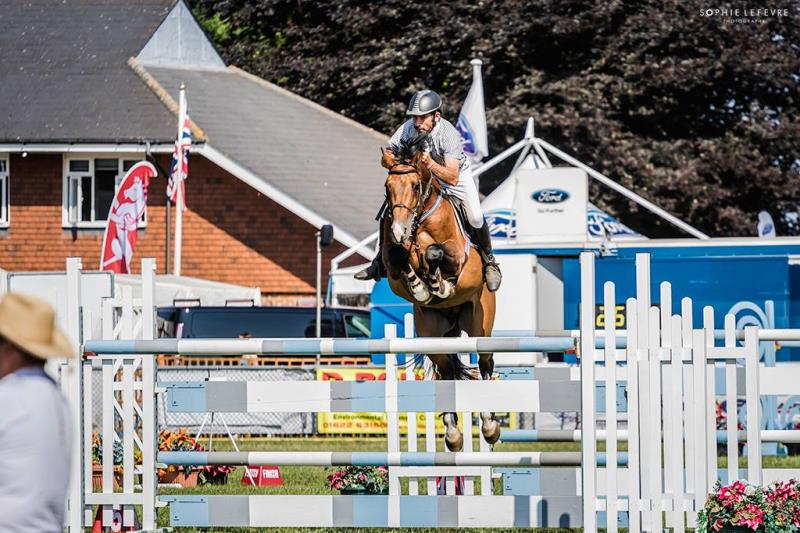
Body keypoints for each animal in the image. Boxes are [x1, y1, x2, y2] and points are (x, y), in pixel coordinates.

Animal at [378, 137, 496, 448]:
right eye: (387, 187)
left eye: (415, 186)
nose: (399, 230)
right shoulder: (392, 263)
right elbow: (399, 257)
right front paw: (421, 287)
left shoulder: (456, 256)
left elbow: (435, 252)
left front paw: (439, 284)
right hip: (433, 333)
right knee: (446, 370)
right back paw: (453, 434)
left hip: (479, 325)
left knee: (485, 361)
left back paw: (491, 426)